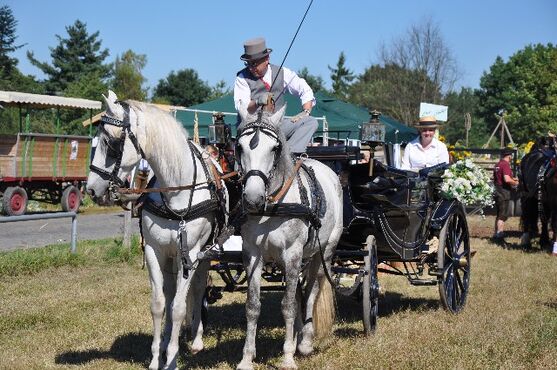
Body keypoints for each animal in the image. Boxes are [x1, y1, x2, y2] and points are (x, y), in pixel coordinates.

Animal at [84, 91, 224, 368]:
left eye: (109, 142)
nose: (91, 189)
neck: (176, 190)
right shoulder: (154, 251)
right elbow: (159, 304)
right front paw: (157, 356)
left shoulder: (191, 254)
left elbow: (179, 307)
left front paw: (172, 358)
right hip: (171, 257)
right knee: (171, 294)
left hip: (201, 255)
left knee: (198, 288)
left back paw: (196, 339)